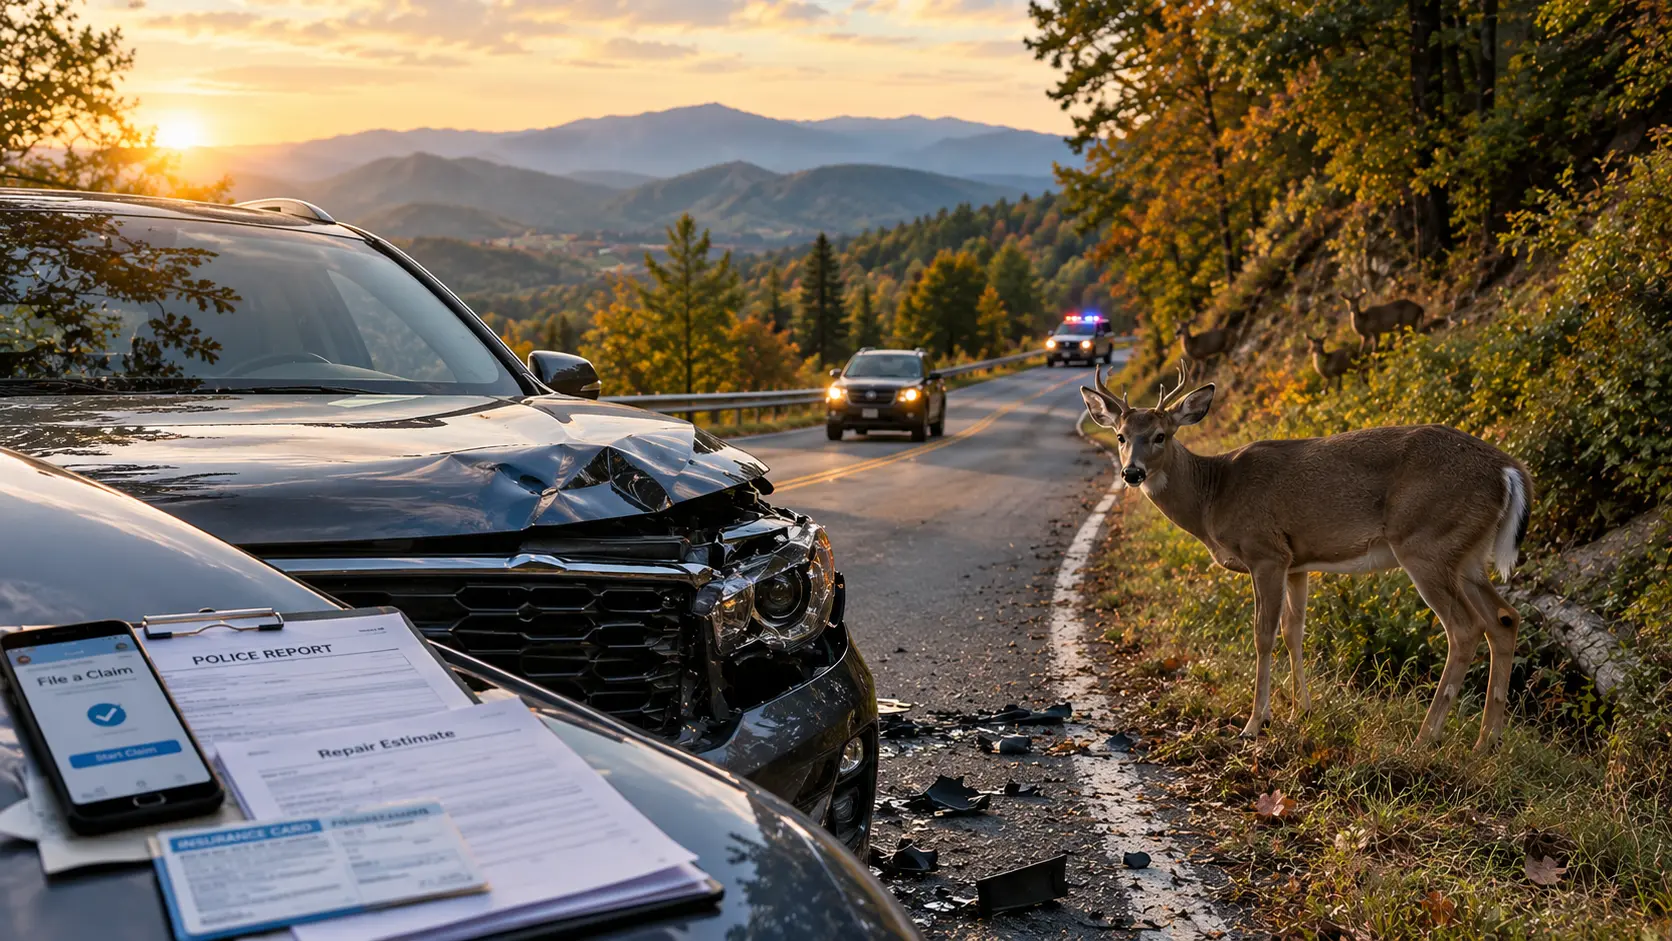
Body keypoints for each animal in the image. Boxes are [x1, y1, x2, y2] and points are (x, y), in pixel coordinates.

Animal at [1081, 366, 1533, 752]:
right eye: (1121, 436)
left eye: (1160, 435)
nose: (1132, 473)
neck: (1213, 495)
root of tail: (1509, 471)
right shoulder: (1297, 563)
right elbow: (1293, 631)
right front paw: (1302, 710)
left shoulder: (1266, 552)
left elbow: (1263, 634)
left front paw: (1255, 723)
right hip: (1467, 555)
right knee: (1504, 618)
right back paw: (1487, 741)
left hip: (1425, 542)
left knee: (1465, 628)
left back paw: (1426, 737)